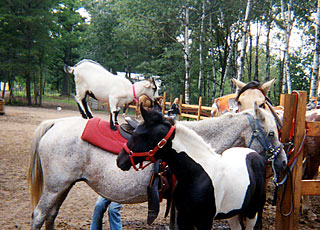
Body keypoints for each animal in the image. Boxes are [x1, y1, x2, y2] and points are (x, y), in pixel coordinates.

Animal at [116, 107, 266, 229]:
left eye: (136, 135)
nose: (119, 161)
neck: (197, 175)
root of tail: (254, 154)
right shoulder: (184, 219)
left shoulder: (204, 222)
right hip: (233, 213)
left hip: (252, 212)